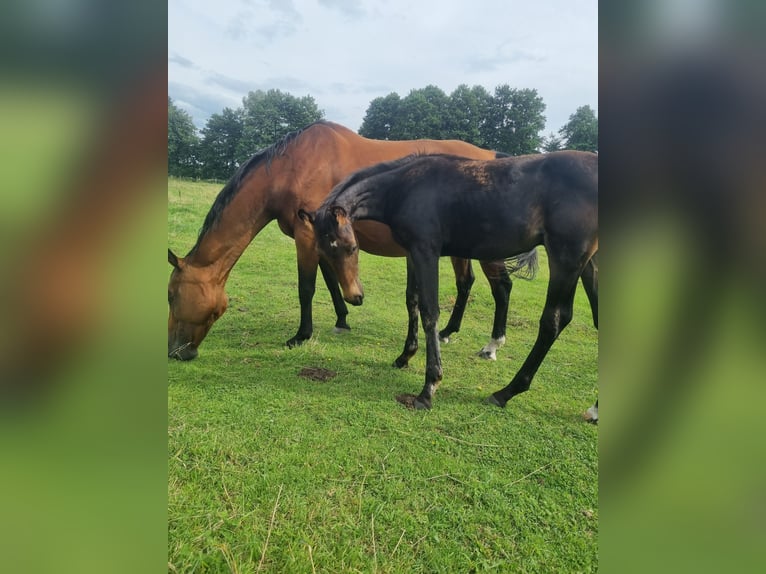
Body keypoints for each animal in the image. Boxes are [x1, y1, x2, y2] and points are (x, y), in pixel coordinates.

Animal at [168, 121, 520, 362]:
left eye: (171, 296)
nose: (175, 351)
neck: (290, 167)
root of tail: (492, 155)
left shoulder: (305, 235)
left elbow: (307, 288)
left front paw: (301, 335)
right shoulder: (324, 238)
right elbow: (331, 280)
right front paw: (342, 319)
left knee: (502, 287)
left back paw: (492, 345)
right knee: (466, 283)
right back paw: (447, 332)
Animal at [300, 151, 600, 414]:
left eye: (352, 247)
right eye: (324, 253)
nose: (355, 297)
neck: (405, 187)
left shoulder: (426, 251)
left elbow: (429, 311)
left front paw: (428, 389)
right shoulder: (412, 252)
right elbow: (412, 300)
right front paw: (405, 356)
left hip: (565, 258)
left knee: (554, 321)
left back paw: (505, 392)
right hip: (588, 262)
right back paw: (594, 409)